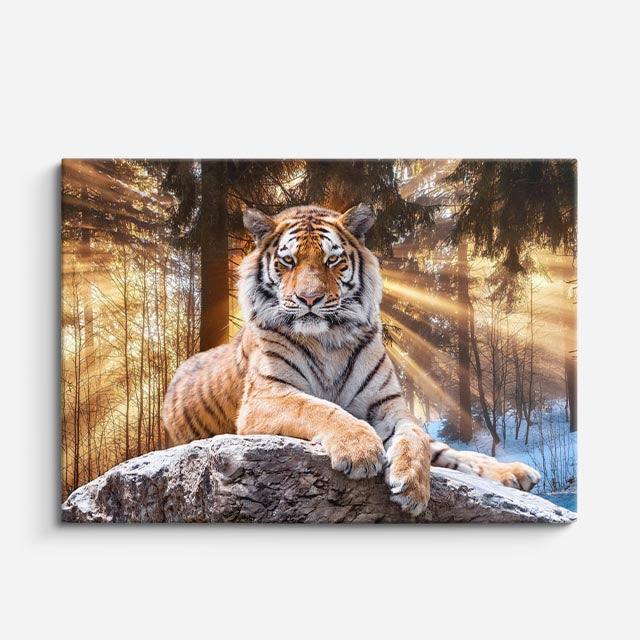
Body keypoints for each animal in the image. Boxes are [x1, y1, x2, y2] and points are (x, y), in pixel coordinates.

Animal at [162, 203, 541, 515]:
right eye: (288, 262)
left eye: (332, 260)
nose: (309, 299)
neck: (328, 339)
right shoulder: (266, 397)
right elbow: (319, 408)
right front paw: (361, 450)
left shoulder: (389, 405)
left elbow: (415, 437)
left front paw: (412, 486)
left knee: (450, 453)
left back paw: (517, 473)